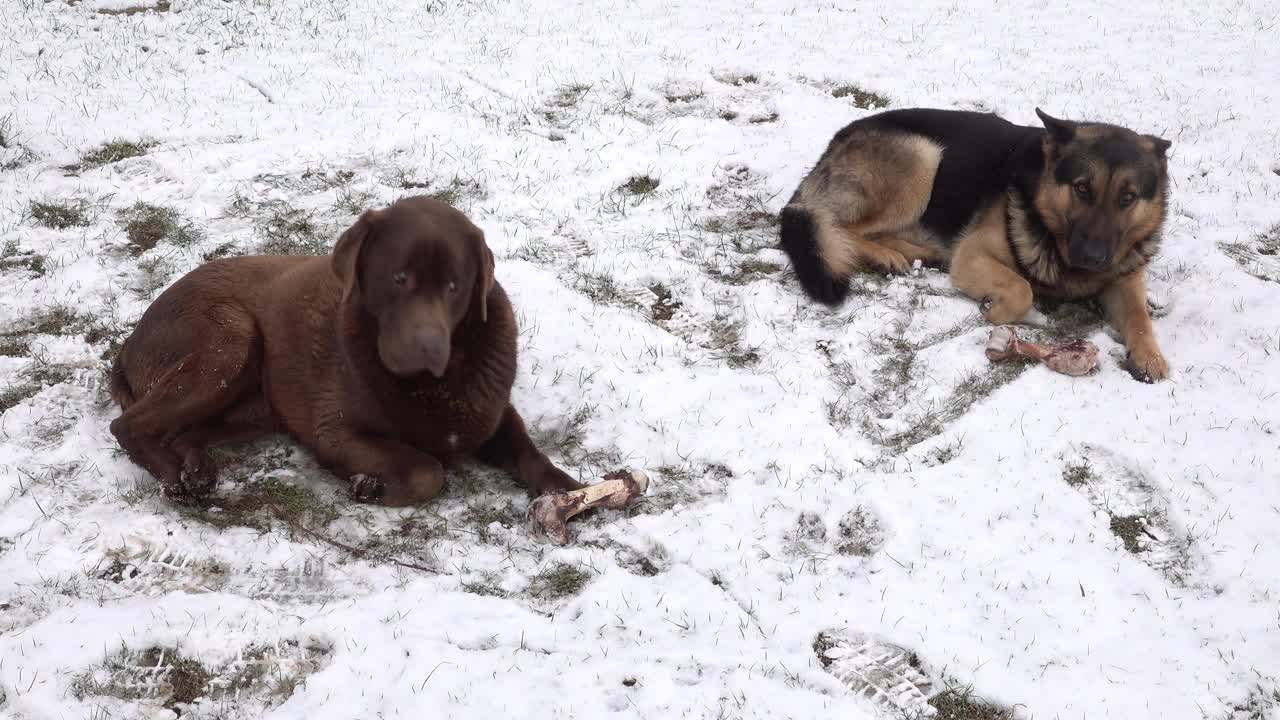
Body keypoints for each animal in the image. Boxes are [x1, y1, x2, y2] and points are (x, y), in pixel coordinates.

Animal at [110, 193, 586, 502]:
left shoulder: (490, 413)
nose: (429, 347)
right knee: (126, 426)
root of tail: (128, 344)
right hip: (229, 341)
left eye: (454, 286)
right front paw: (369, 485)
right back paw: (174, 479)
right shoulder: (335, 431)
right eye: (399, 278)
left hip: (256, 407)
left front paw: (568, 490)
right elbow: (426, 471)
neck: (435, 385)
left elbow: (527, 450)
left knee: (186, 433)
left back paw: (197, 471)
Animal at [773, 106, 1172, 381]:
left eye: (1128, 198)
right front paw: (994, 311)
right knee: (838, 226)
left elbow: (1139, 315)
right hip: (923, 157)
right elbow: (1022, 288)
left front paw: (1150, 355)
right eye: (1082, 188)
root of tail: (833, 145)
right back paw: (886, 255)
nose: (1092, 258)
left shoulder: (1124, 278)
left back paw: (915, 251)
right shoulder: (972, 255)